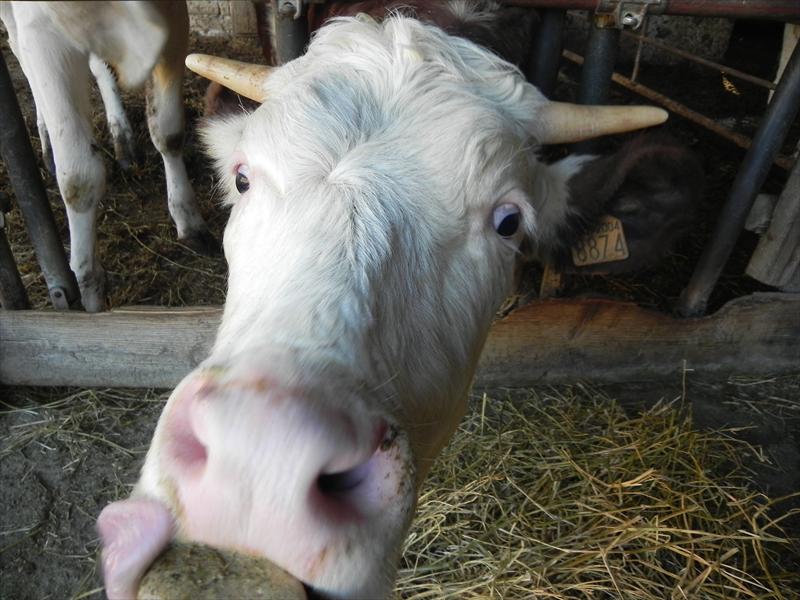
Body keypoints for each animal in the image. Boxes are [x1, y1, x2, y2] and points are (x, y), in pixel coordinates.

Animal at [1, 1, 218, 312]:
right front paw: (87, 286)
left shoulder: (173, 13)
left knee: (99, 65)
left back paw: (122, 140)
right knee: (17, 47)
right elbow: (79, 178)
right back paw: (48, 141)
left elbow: (168, 131)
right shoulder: (39, 26)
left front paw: (188, 219)